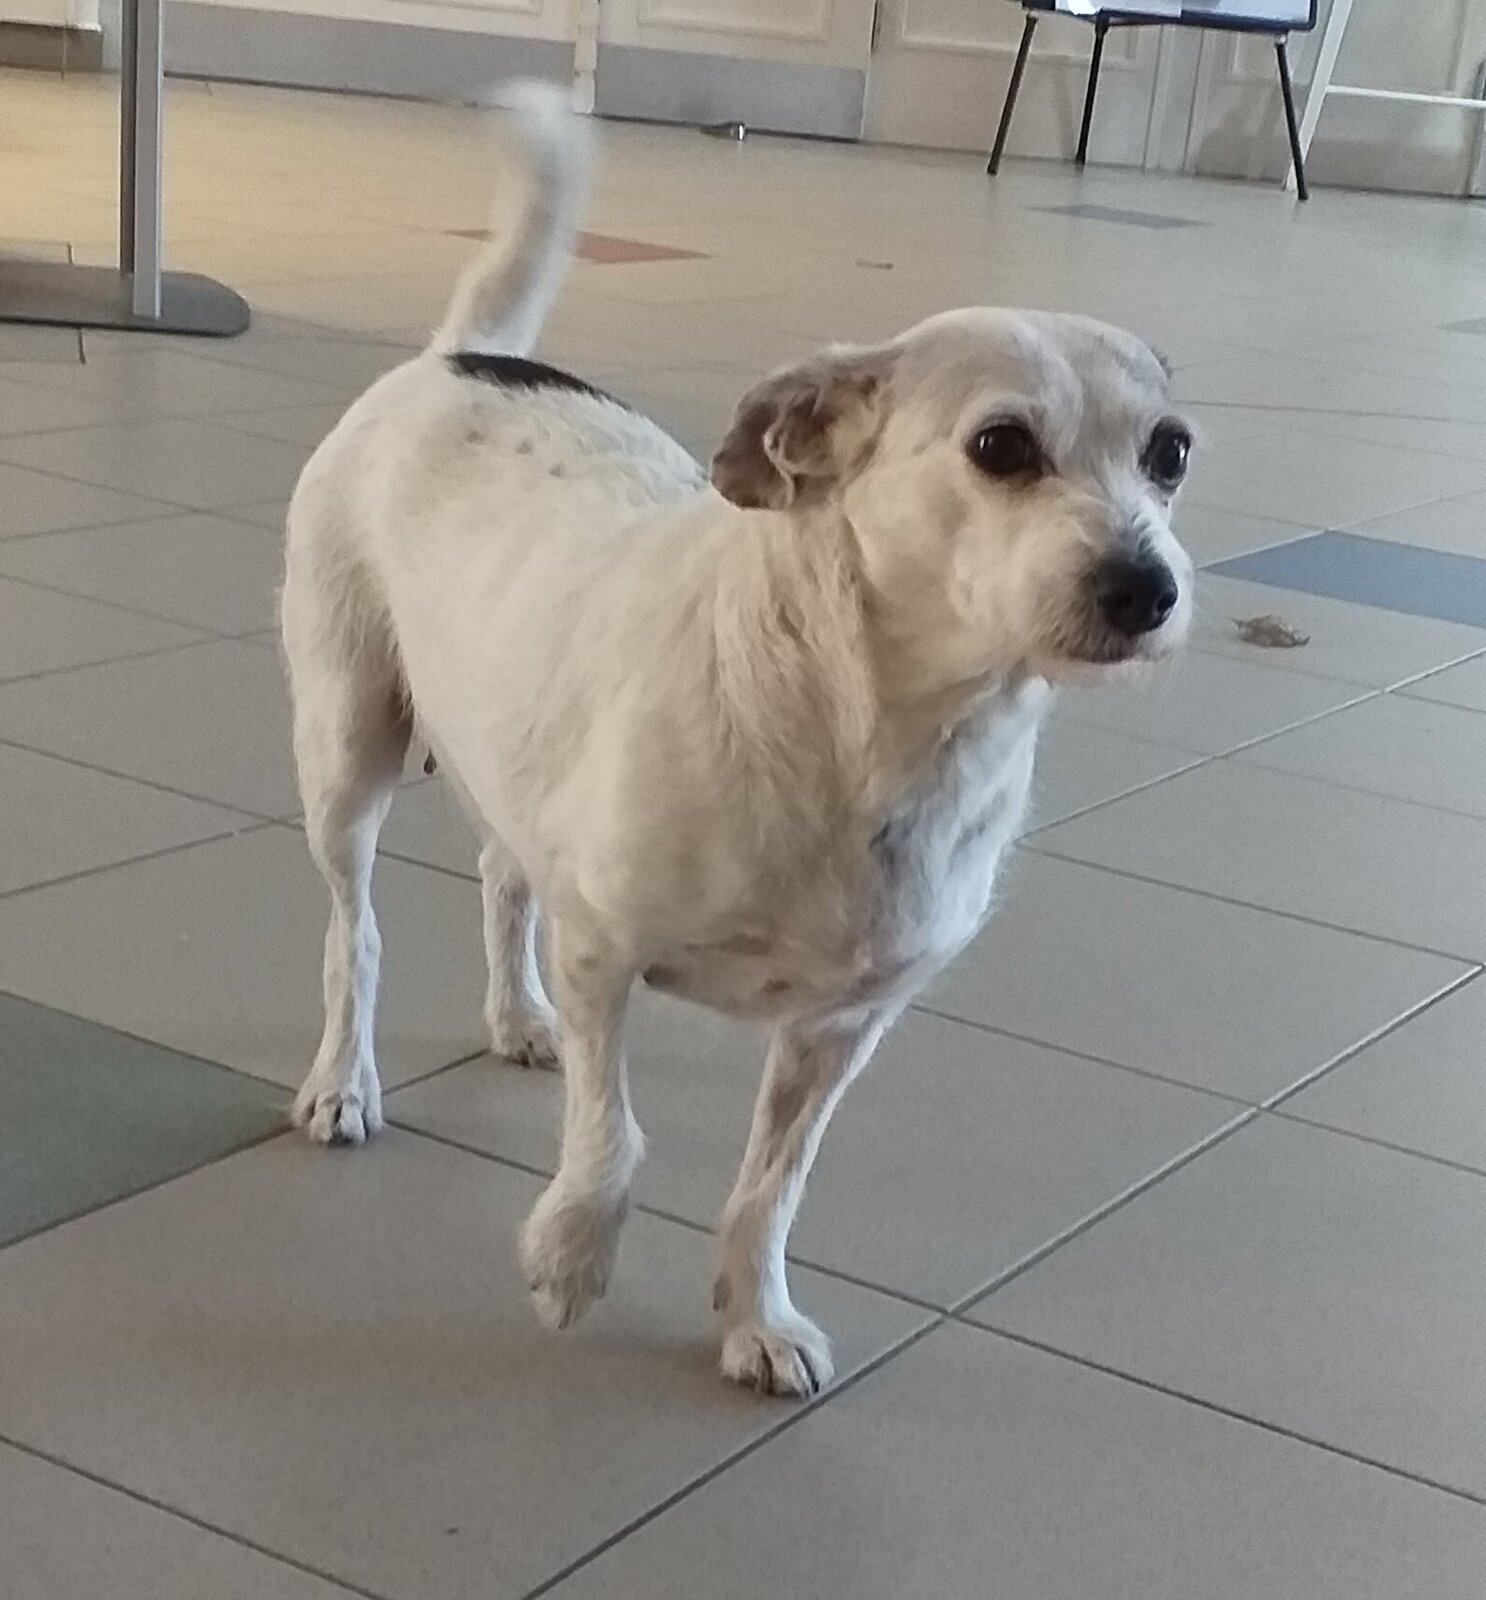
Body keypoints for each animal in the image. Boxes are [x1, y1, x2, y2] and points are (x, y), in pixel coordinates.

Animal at [281, 83, 1193, 1398]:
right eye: (1000, 446)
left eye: (1170, 452)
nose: (1148, 586)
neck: (871, 733)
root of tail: (456, 357)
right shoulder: (606, 955)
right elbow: (612, 1139)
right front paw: (570, 1259)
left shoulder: (839, 1029)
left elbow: (771, 1187)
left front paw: (754, 1315)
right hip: (346, 748)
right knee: (353, 933)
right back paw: (342, 1080)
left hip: (513, 751)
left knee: (505, 875)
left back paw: (516, 1015)